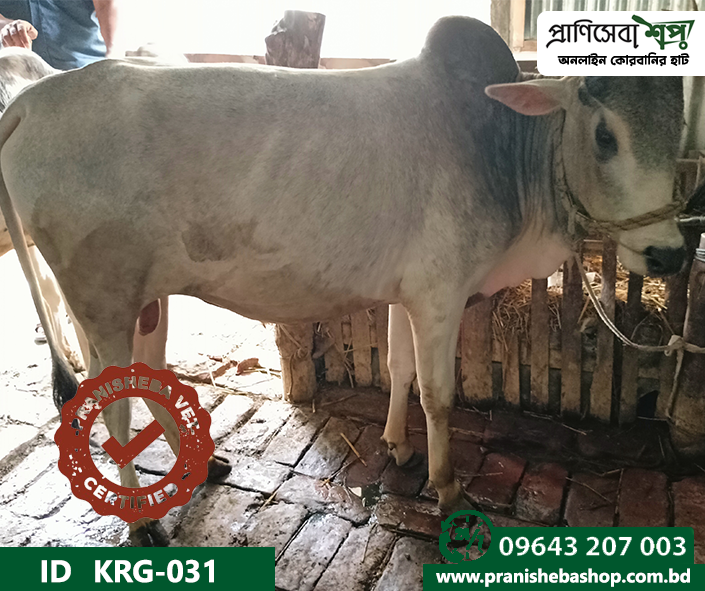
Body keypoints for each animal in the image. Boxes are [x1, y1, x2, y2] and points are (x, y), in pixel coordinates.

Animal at [0, 16, 685, 546]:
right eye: (605, 136)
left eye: (679, 134)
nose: (671, 253)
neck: (499, 144)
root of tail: (34, 99)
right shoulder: (441, 296)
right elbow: (439, 395)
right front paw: (447, 488)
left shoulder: (409, 296)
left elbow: (402, 372)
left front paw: (400, 447)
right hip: (103, 301)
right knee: (106, 402)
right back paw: (143, 521)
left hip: (146, 298)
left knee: (144, 377)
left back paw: (205, 466)